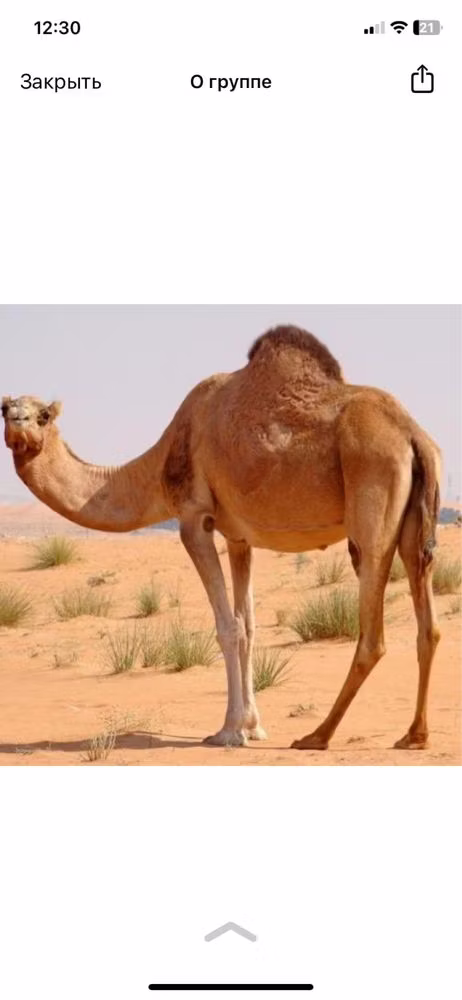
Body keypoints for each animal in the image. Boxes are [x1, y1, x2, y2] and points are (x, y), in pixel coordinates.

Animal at [2, 326, 441, 750]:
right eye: (5, 409)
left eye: (43, 415)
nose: (19, 423)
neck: (160, 462)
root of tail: (414, 435)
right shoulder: (238, 538)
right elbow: (248, 626)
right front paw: (253, 726)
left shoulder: (194, 519)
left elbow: (227, 626)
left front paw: (229, 731)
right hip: (414, 523)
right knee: (428, 623)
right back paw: (413, 735)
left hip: (372, 493)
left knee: (372, 631)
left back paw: (317, 736)